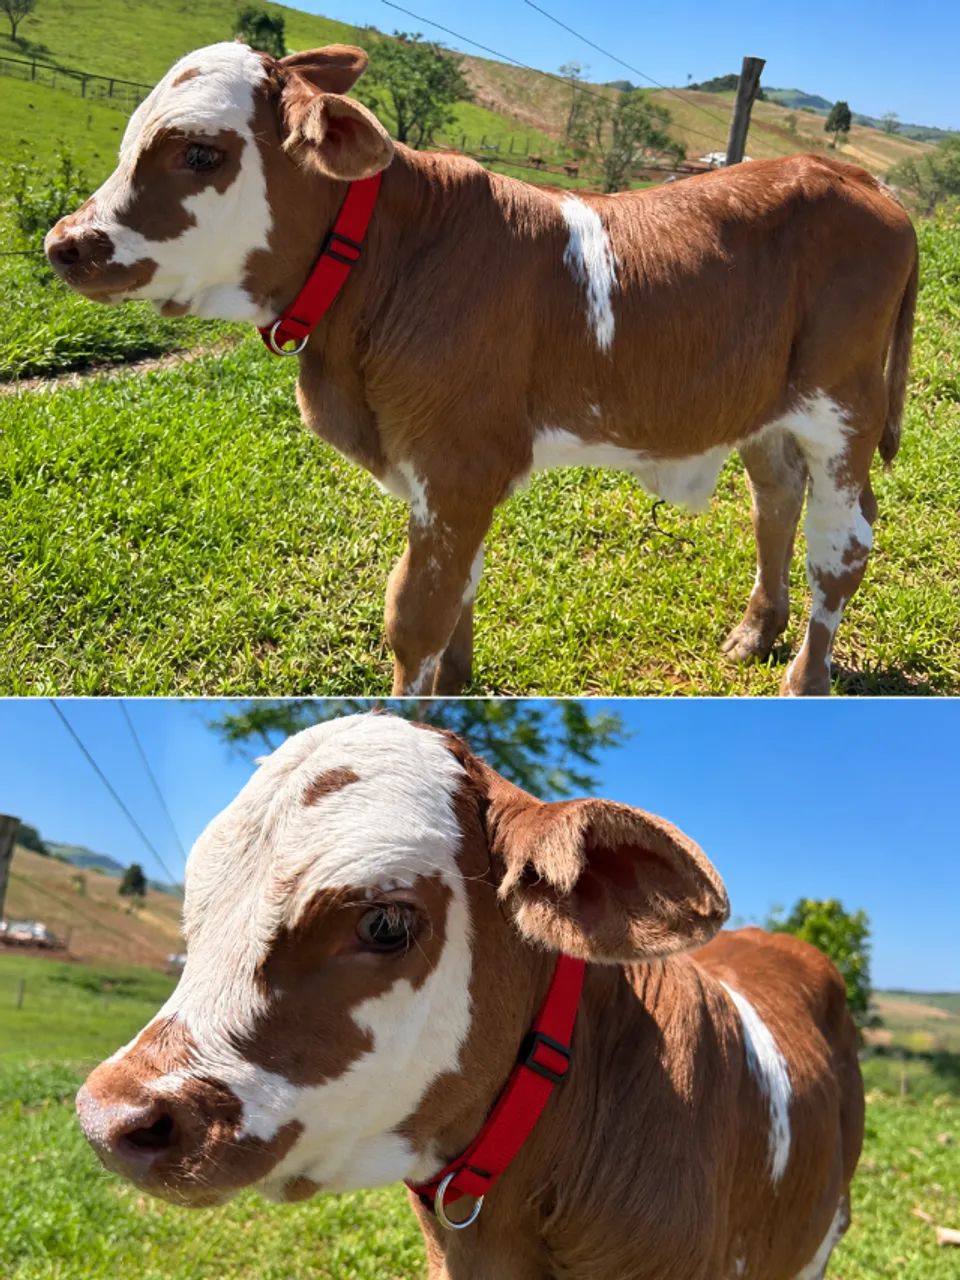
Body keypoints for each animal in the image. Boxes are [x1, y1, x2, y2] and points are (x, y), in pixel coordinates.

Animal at [44, 42, 918, 696]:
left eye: (200, 152)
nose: (63, 243)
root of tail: (855, 177)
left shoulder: (459, 462)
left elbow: (414, 615)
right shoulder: (441, 471)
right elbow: (456, 590)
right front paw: (456, 688)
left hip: (843, 408)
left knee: (842, 543)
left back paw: (805, 678)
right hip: (764, 406)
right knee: (777, 500)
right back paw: (755, 632)